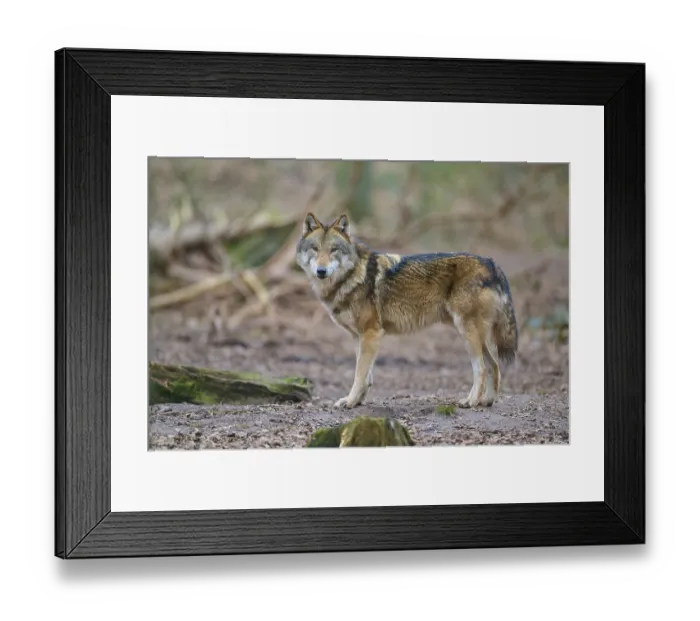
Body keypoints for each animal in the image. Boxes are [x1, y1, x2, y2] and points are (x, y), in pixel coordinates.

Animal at [296, 212, 518, 410]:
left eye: (333, 250)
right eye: (315, 249)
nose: (321, 271)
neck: (351, 276)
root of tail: (491, 263)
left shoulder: (371, 333)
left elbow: (359, 375)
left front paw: (350, 402)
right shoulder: (359, 337)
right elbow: (366, 376)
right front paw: (357, 401)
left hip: (467, 334)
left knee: (481, 368)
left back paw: (470, 401)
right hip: (475, 335)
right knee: (494, 365)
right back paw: (487, 401)